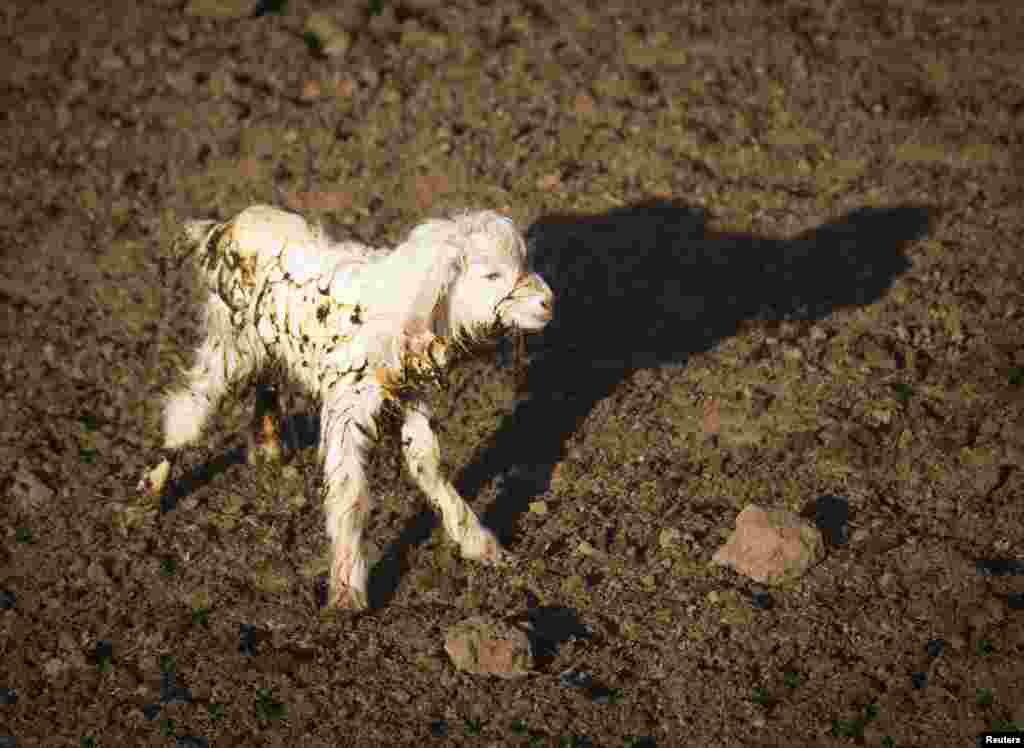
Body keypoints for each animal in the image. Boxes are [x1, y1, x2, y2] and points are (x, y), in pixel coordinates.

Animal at [138, 202, 552, 606]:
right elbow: (349, 492)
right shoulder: (346, 407)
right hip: (230, 343)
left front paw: (479, 544)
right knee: (191, 404)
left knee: (266, 380)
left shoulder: (410, 398)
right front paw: (346, 590)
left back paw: (269, 446)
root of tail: (228, 225)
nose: (548, 303)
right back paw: (153, 485)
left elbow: (428, 467)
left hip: (262, 342)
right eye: (491, 275)